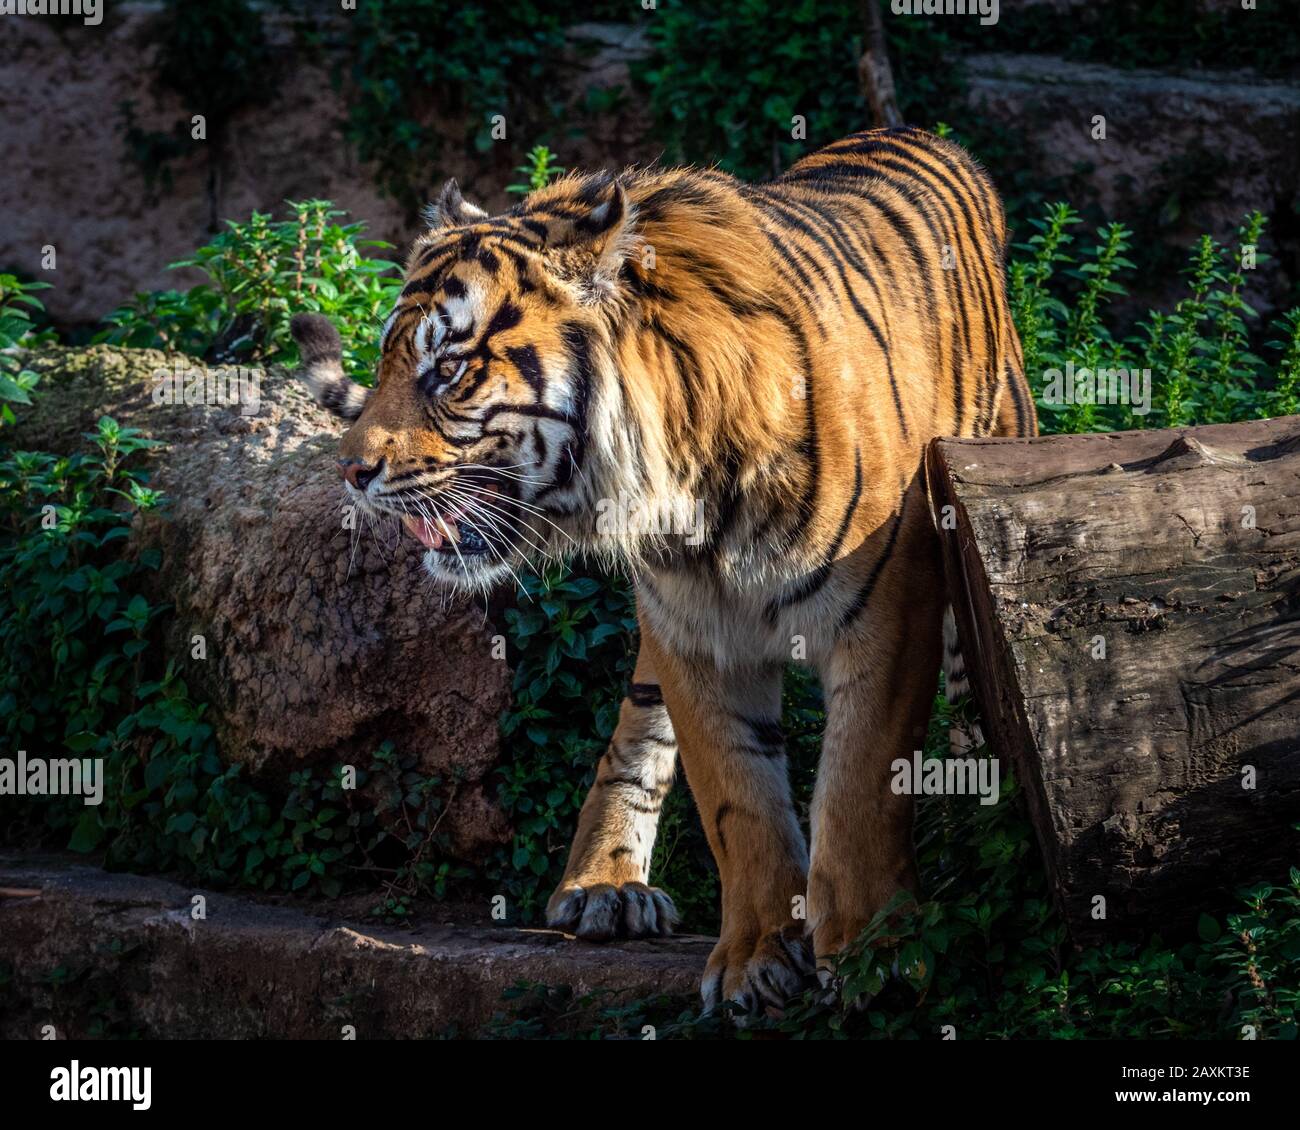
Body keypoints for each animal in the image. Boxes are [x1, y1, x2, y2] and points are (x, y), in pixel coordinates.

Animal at [292, 125, 1034, 1014]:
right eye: (387, 367)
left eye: (450, 370)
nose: (349, 470)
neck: (692, 499)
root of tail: (927, 136)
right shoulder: (694, 630)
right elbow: (736, 799)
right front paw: (758, 959)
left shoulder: (890, 609)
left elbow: (860, 787)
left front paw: (873, 956)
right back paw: (603, 886)